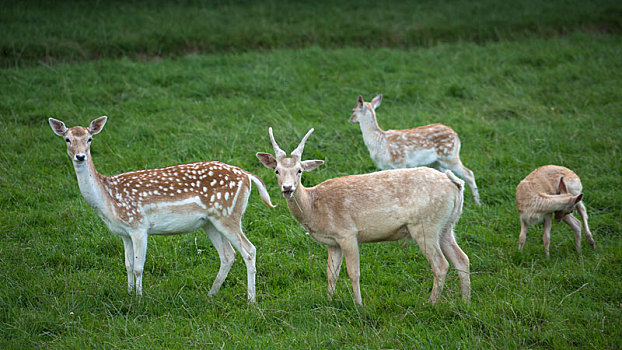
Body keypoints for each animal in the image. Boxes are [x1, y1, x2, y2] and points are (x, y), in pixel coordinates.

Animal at [48, 115, 272, 300]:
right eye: (67, 139)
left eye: (90, 139)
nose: (80, 156)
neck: (108, 198)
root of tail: (247, 176)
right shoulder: (124, 233)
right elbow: (128, 265)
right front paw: (128, 292)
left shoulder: (138, 226)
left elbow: (139, 267)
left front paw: (138, 298)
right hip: (209, 222)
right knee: (228, 255)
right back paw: (211, 294)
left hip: (229, 214)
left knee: (249, 250)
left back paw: (251, 299)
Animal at [256, 127, 470, 304]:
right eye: (277, 171)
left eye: (299, 170)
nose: (287, 188)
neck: (314, 207)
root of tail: (456, 185)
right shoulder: (333, 242)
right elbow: (331, 273)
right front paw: (329, 301)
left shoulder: (348, 233)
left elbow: (354, 272)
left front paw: (359, 305)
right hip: (447, 225)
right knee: (462, 259)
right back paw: (465, 303)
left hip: (426, 225)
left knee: (441, 264)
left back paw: (430, 303)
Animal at [352, 94, 482, 206]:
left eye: (353, 110)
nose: (350, 119)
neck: (379, 142)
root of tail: (456, 135)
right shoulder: (386, 167)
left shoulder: (400, 162)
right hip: (436, 162)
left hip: (449, 155)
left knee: (469, 173)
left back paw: (478, 203)